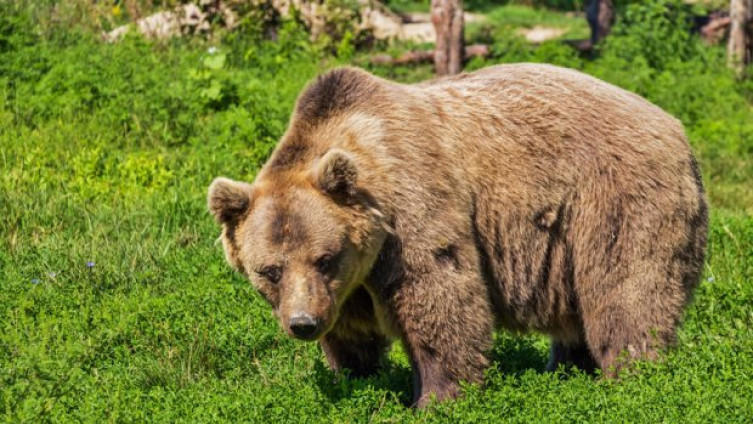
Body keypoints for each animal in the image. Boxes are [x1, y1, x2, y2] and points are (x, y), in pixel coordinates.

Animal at [206, 63, 704, 408]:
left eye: (325, 257)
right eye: (269, 270)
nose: (303, 323)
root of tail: (676, 127)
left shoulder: (412, 208)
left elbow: (439, 295)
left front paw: (436, 397)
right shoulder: (348, 284)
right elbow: (351, 331)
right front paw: (355, 376)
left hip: (614, 198)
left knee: (626, 289)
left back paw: (632, 374)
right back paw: (567, 368)